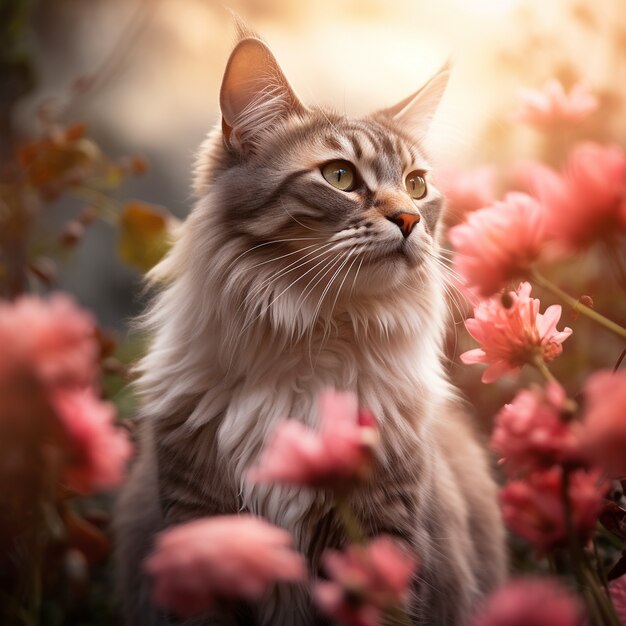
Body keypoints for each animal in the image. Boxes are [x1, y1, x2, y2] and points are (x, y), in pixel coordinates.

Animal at [114, 20, 508, 624]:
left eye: (417, 186)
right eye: (340, 176)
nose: (410, 219)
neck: (313, 335)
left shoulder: (383, 535)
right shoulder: (198, 528)